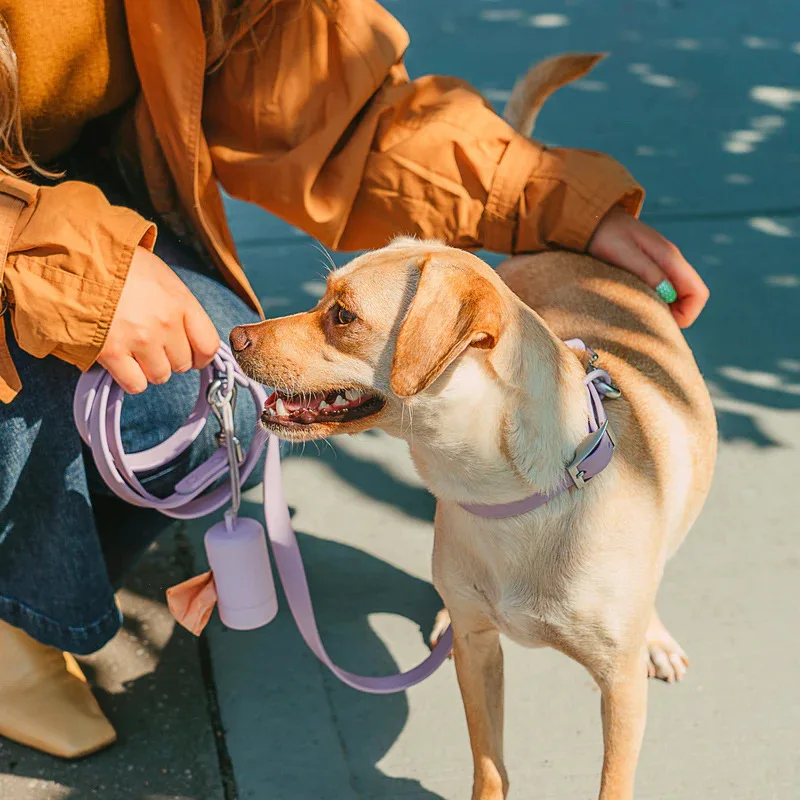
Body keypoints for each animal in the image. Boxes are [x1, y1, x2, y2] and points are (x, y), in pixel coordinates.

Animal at [228, 56, 716, 800]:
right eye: (322, 300)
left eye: (342, 316)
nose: (234, 336)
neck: (507, 501)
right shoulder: (481, 655)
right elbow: (490, 762)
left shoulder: (619, 689)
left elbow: (614, 779)